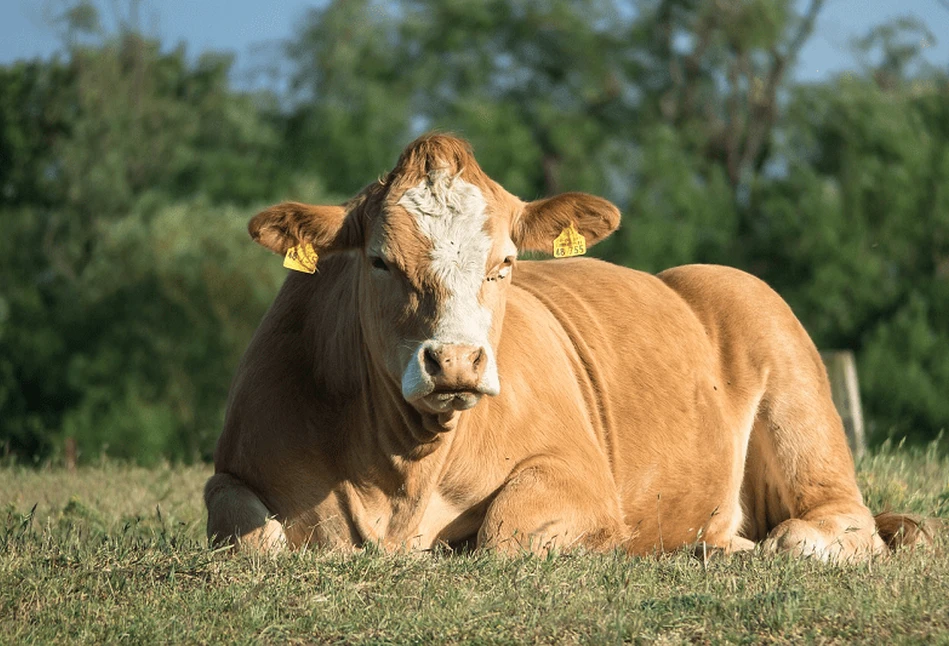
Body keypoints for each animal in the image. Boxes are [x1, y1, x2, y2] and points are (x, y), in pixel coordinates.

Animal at [204, 133, 924, 560]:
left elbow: (504, 535)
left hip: (792, 391)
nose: (456, 361)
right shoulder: (232, 473)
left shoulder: (579, 478)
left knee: (824, 527)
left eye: (505, 262)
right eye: (379, 261)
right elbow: (253, 538)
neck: (395, 476)